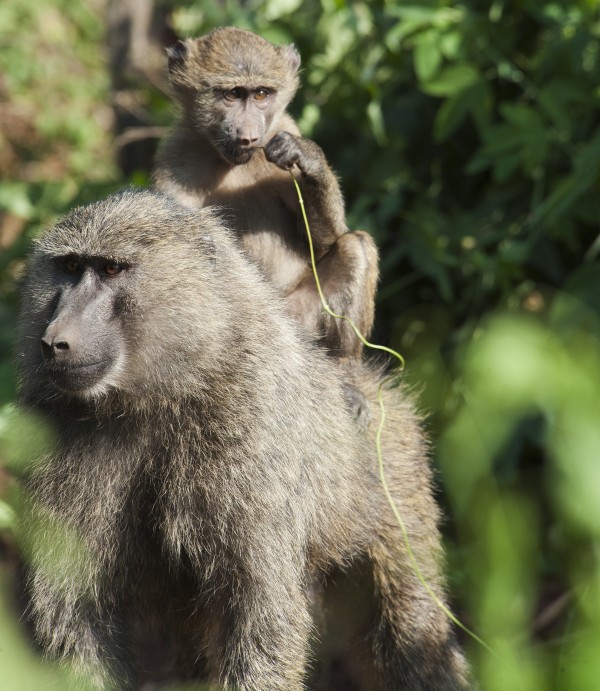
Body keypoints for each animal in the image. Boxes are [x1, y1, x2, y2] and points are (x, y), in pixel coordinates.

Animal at [17, 189, 469, 690]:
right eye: (70, 267)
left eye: (112, 269)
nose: (55, 341)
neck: (159, 394)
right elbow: (75, 612)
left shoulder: (250, 428)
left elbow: (259, 607)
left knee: (411, 631)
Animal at [152, 27, 379, 366]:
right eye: (232, 94)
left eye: (261, 94)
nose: (248, 137)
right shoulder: (175, 164)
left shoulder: (284, 133)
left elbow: (323, 243)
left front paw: (308, 158)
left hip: (302, 319)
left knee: (355, 246)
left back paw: (344, 366)